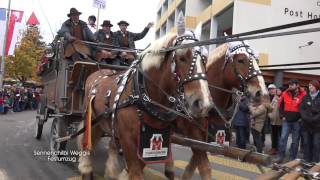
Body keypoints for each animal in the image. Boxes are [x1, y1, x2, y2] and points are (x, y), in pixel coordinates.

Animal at [76, 14, 214, 180]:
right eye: (181, 57)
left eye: (205, 58)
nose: (203, 104)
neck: (142, 95)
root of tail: (96, 72)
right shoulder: (128, 140)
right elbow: (135, 172)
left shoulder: (151, 142)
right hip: (90, 119)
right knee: (86, 142)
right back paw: (86, 169)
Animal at [165, 41, 270, 180]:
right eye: (241, 60)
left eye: (257, 60)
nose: (261, 93)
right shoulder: (193, 132)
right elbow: (205, 167)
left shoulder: (206, 137)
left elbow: (195, 163)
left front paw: (185, 175)